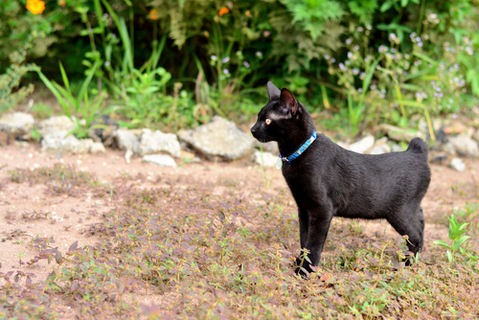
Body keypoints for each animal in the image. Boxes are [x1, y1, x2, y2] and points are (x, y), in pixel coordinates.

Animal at [251, 81, 432, 274]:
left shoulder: (322, 208)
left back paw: (408, 264)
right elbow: (303, 239)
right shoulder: (303, 208)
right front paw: (299, 263)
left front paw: (305, 271)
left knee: (415, 235)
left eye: (267, 120)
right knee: (421, 221)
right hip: (410, 208)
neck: (298, 153)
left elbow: (313, 243)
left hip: (399, 212)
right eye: (258, 117)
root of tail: (416, 151)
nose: (252, 129)